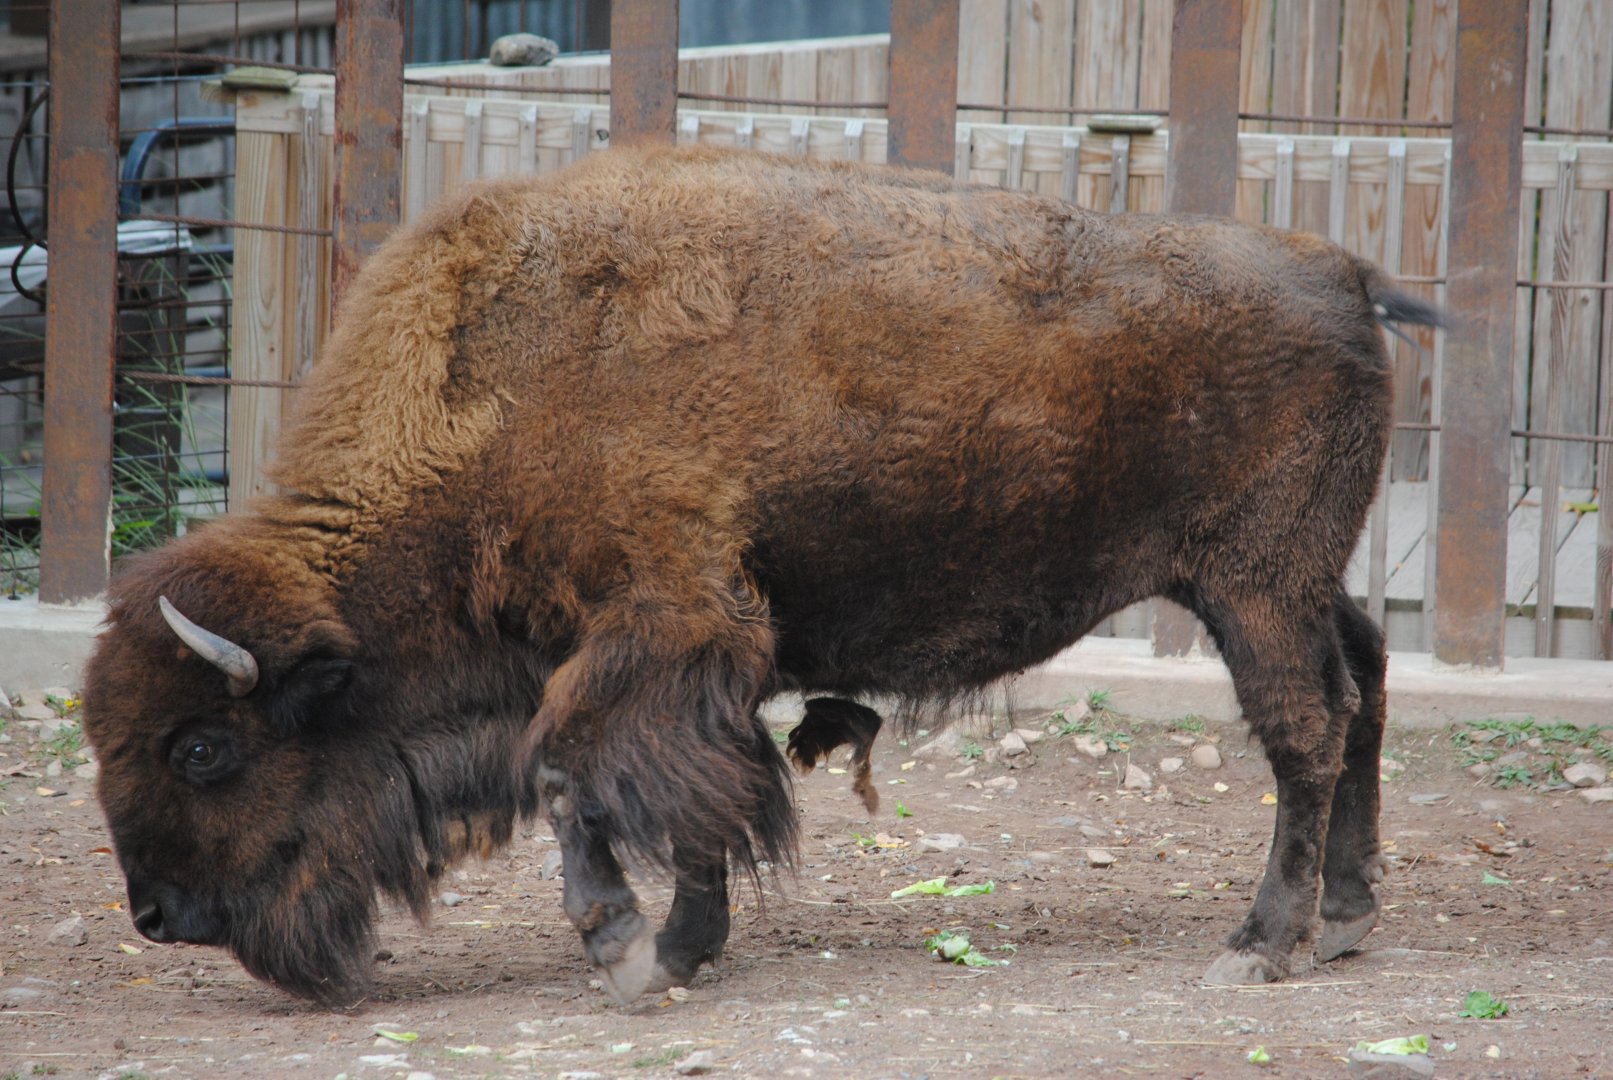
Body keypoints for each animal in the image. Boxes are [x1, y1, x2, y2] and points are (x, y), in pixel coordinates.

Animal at [82, 144, 1437, 1006]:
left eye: (203, 747)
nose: (156, 915)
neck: (500, 389)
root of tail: (1345, 274)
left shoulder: (660, 626)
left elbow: (583, 771)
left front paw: (630, 953)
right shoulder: (691, 660)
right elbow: (686, 791)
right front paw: (681, 947)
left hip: (1253, 587)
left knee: (1304, 731)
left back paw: (1258, 946)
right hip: (1290, 583)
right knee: (1365, 682)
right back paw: (1347, 921)